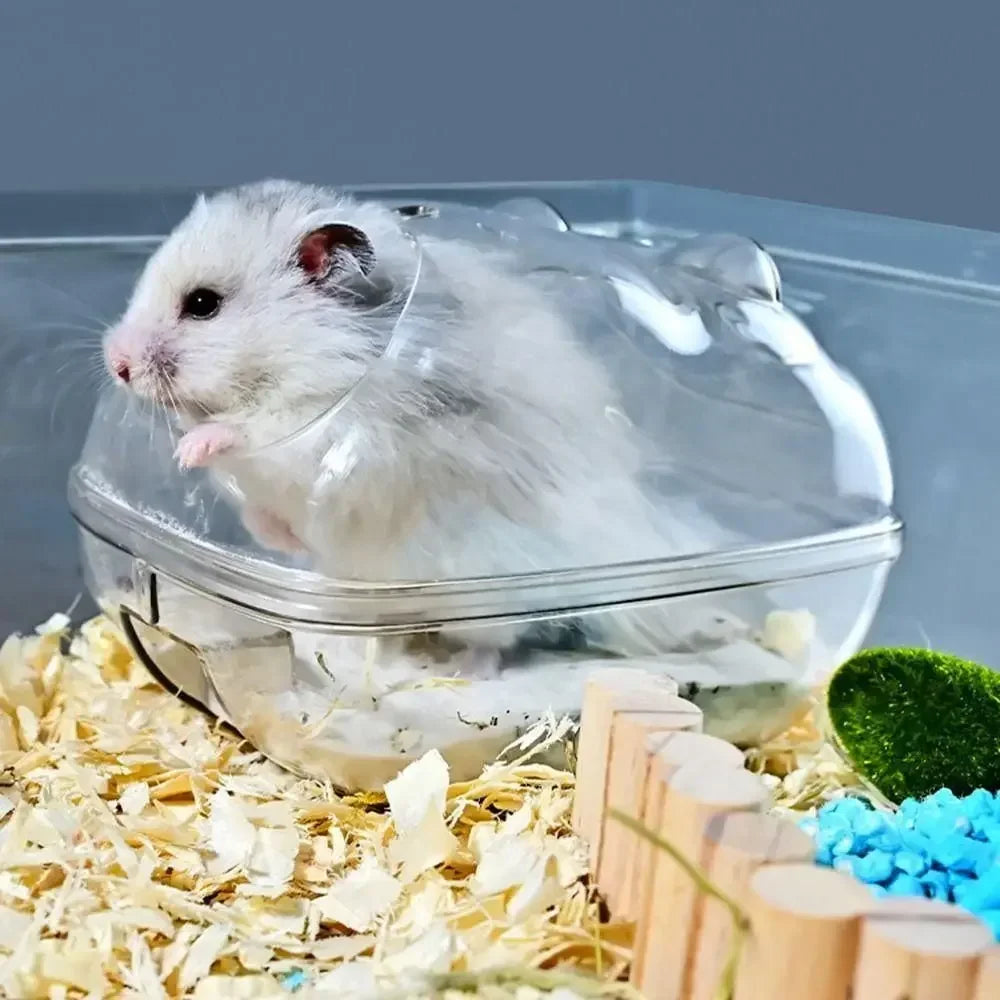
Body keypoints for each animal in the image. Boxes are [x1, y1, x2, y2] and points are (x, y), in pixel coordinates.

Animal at [102, 180, 744, 661]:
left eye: (203, 304)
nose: (116, 365)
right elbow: (263, 514)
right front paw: (268, 527)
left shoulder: (325, 429)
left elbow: (254, 431)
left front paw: (190, 449)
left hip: (490, 589)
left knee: (500, 641)